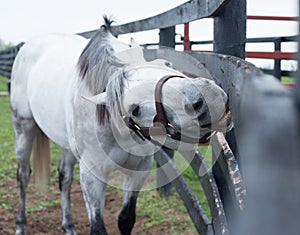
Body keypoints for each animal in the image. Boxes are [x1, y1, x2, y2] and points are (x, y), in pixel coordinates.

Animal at [8, 17, 230, 235]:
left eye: (166, 63)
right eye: (135, 109)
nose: (208, 99)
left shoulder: (139, 170)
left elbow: (126, 219)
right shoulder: (92, 177)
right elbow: (98, 227)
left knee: (64, 178)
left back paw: (68, 226)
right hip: (24, 129)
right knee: (23, 176)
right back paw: (20, 225)